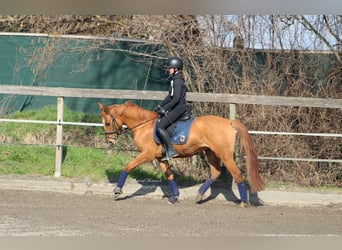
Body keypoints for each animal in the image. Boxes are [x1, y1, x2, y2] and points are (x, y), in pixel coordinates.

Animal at [99, 100, 264, 206]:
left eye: (107, 122)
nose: (110, 141)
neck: (144, 126)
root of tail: (229, 122)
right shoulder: (161, 158)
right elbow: (170, 176)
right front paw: (175, 197)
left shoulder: (147, 154)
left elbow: (128, 166)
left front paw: (117, 191)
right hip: (210, 153)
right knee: (216, 172)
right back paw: (199, 195)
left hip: (224, 155)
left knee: (237, 174)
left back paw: (243, 202)